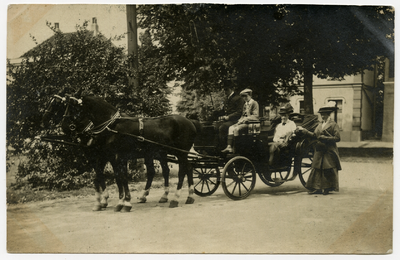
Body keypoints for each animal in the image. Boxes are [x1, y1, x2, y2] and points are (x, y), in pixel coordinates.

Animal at [42, 95, 198, 211]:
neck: (110, 126)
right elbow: (109, 177)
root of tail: (189, 121)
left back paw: (175, 199)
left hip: (179, 153)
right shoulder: (107, 157)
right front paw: (109, 202)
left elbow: (118, 177)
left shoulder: (113, 156)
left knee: (182, 170)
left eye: (70, 107)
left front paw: (121, 202)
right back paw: (186, 196)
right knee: (183, 168)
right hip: (163, 153)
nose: (65, 126)